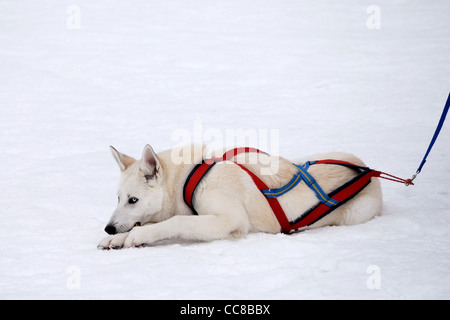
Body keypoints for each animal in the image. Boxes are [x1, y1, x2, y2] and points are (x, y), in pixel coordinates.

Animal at [97, 144, 380, 249]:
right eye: (117, 198)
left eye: (133, 200)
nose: (109, 228)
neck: (189, 180)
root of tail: (370, 172)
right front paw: (118, 238)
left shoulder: (229, 220)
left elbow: (176, 222)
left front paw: (137, 236)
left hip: (354, 214)